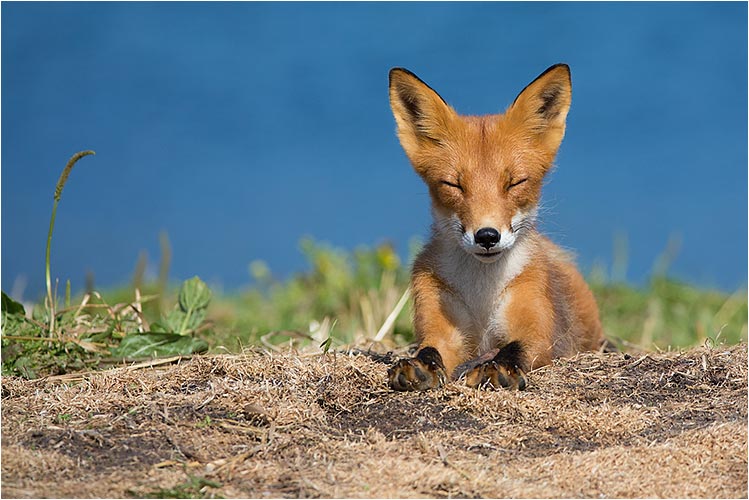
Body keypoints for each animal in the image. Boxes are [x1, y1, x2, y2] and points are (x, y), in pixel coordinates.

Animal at [387, 64, 605, 391]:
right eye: (454, 184)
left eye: (515, 182)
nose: (487, 236)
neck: (482, 297)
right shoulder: (441, 326)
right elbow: (429, 349)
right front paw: (420, 365)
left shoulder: (537, 330)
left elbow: (515, 348)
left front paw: (498, 367)